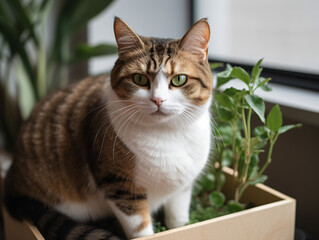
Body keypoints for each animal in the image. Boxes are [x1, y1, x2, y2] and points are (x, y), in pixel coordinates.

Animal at [3, 17, 214, 240]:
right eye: (139, 79)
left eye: (179, 79)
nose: (158, 99)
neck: (167, 134)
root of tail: (11, 178)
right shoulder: (119, 184)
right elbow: (139, 226)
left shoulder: (183, 186)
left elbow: (178, 216)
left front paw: (179, 227)